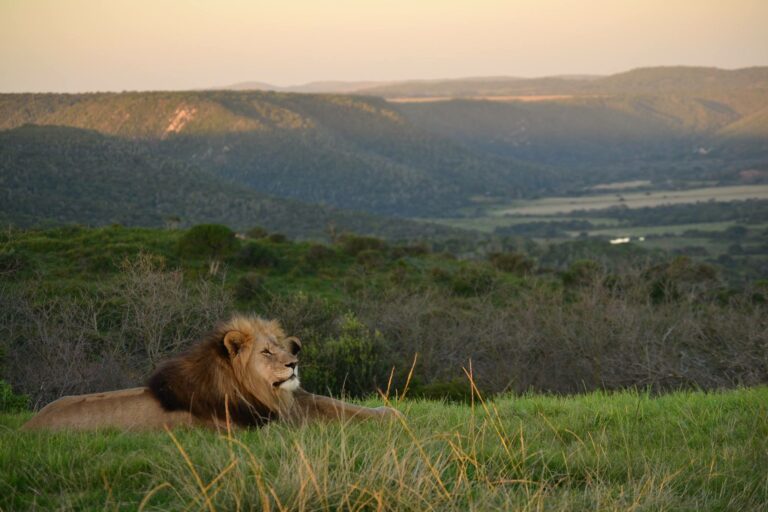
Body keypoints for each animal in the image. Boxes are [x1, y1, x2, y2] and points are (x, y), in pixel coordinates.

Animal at [22, 314, 402, 430]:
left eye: (281, 346)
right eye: (266, 351)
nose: (294, 362)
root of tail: (27, 427)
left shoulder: (293, 403)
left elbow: (339, 406)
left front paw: (391, 413)